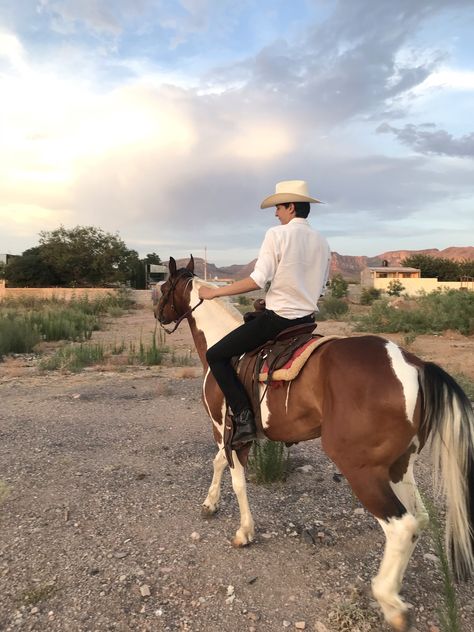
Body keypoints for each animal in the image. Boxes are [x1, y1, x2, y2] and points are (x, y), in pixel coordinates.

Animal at [156, 254, 474, 628]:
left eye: (164, 287)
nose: (159, 315)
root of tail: (415, 365)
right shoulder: (232, 435)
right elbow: (220, 463)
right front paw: (210, 504)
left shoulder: (224, 428)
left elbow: (235, 477)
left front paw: (244, 531)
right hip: (399, 464)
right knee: (419, 519)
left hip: (361, 468)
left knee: (401, 525)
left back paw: (388, 598)